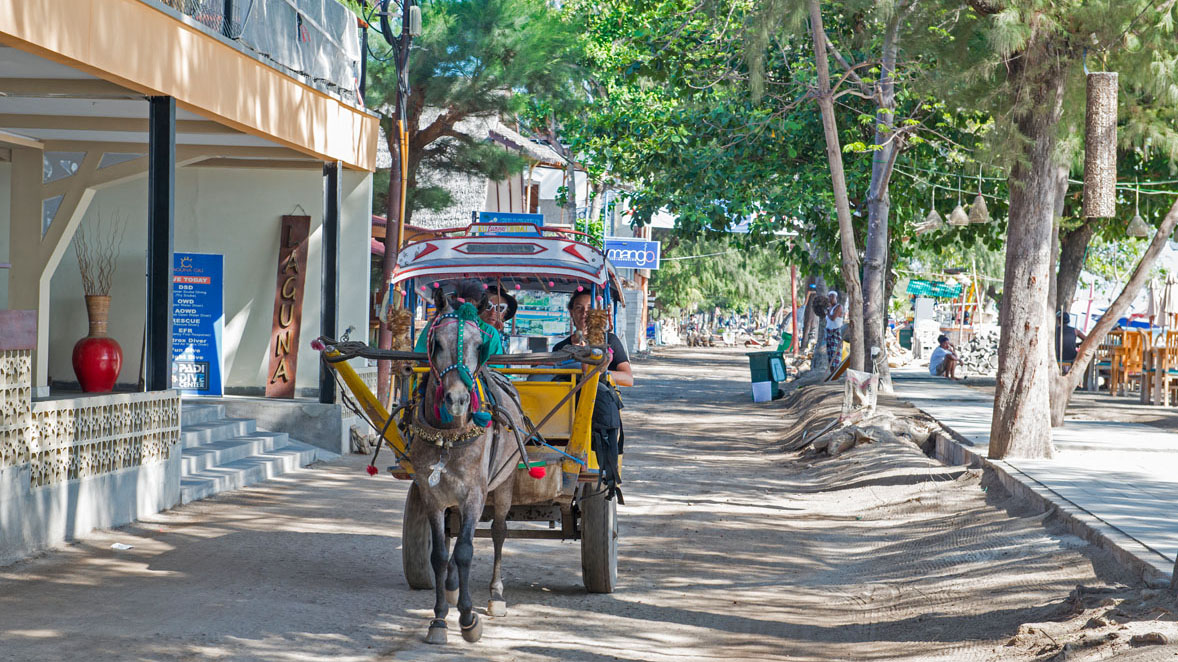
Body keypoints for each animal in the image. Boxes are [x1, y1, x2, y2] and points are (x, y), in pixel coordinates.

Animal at [409, 286, 530, 640]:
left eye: (480, 345)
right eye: (436, 343)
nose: (458, 399)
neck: (449, 436)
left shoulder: (476, 494)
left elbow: (465, 550)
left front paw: (466, 618)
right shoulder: (432, 495)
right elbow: (439, 553)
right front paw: (438, 618)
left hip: (503, 484)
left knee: (499, 533)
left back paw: (496, 595)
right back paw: (450, 585)